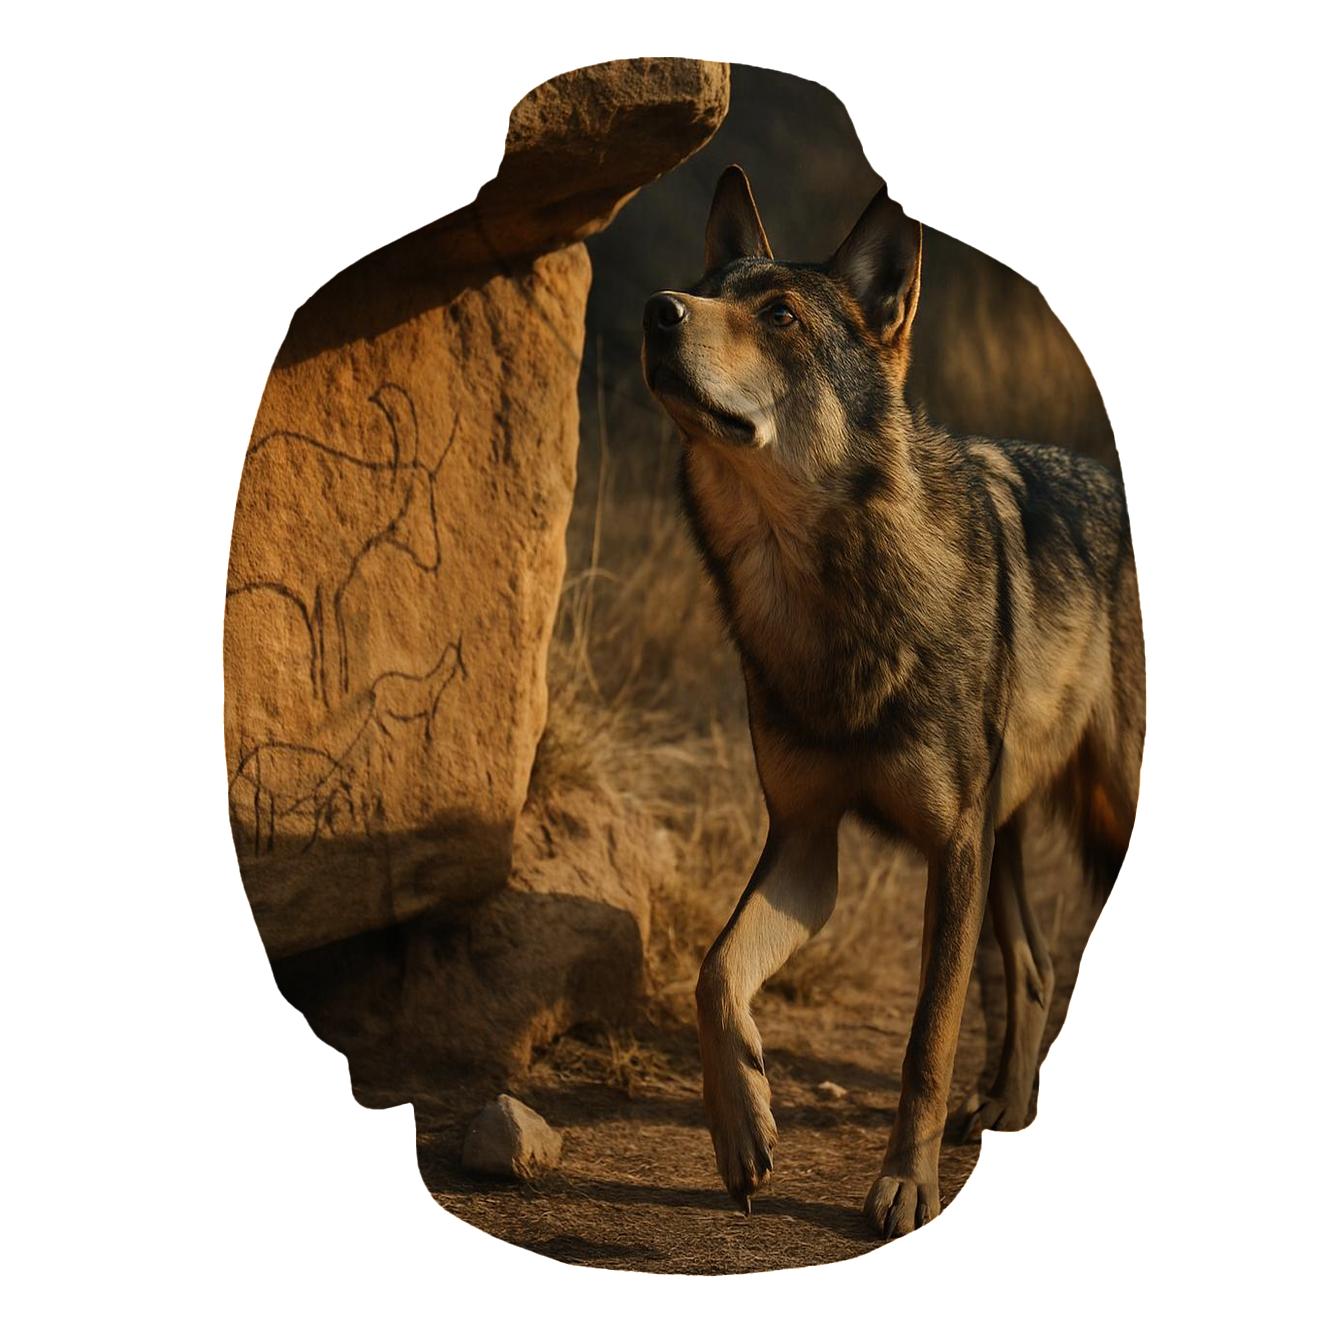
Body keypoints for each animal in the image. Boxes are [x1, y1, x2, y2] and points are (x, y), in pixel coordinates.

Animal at [641, 165, 1144, 1240]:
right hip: (1004, 832)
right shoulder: (805, 843)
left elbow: (924, 1040)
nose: (656, 312)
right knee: (1033, 968)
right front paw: (743, 1126)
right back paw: (1005, 1109)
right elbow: (712, 971)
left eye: (779, 315)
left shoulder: (948, 851)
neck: (823, 595)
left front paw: (904, 1186)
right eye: (704, 290)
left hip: (1080, 819)